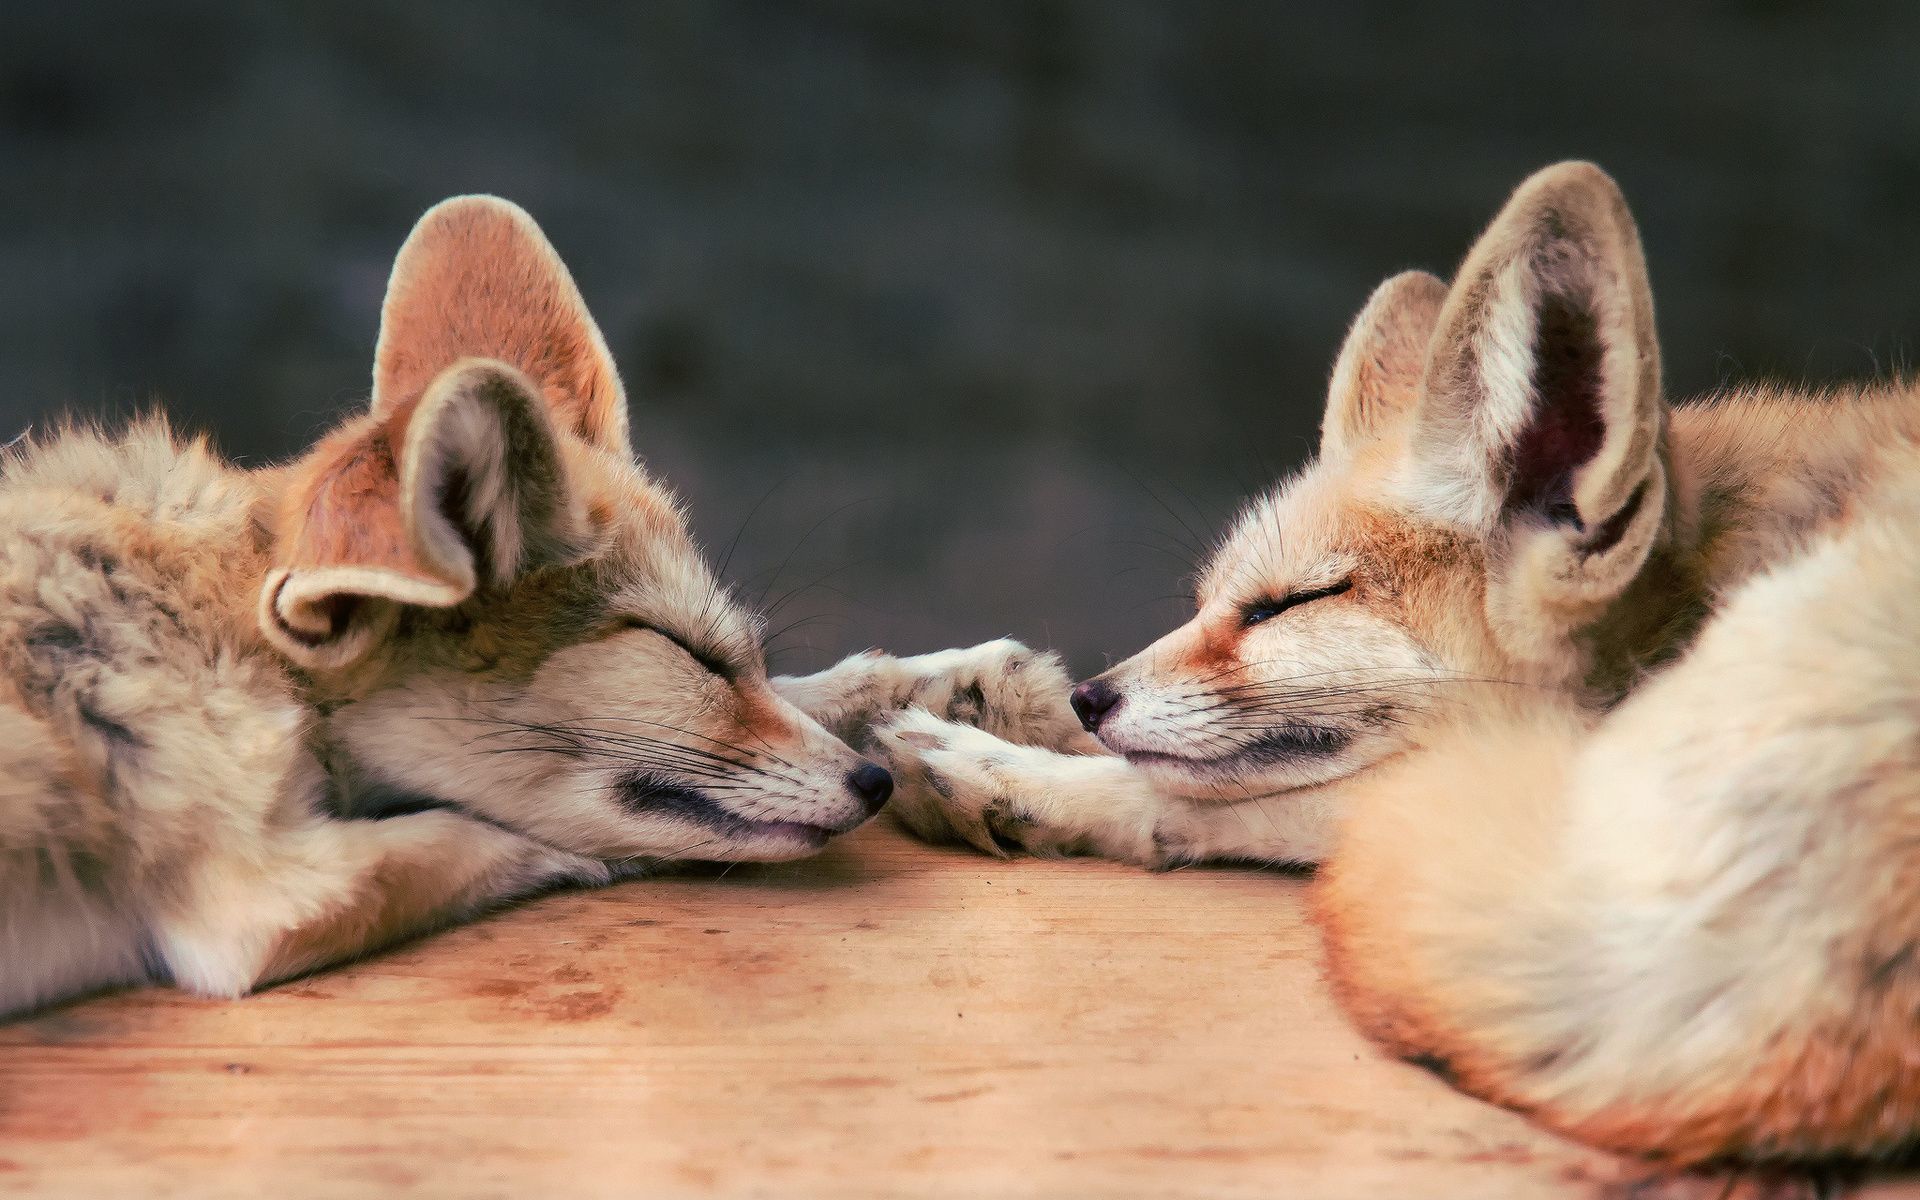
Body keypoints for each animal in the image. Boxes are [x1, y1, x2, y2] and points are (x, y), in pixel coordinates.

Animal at [0, 193, 1079, 1019]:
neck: (216, 621)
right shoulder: (257, 898)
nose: (873, 786)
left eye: (732, 651)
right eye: (683, 652)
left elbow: (814, 693)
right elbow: (524, 836)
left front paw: (963, 698)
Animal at [877, 161, 1920, 1165]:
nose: (1094, 698)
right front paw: (995, 697)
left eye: (1288, 603)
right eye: (1210, 601)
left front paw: (1007, 767)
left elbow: (1199, 792)